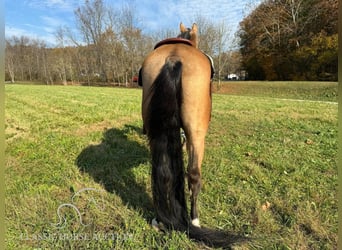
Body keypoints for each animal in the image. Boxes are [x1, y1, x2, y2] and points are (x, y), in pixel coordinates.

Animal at [139, 23, 246, 248]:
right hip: (196, 133)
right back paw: (194, 220)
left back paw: (160, 219)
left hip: (156, 131)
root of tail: (173, 58)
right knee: (194, 174)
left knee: (160, 172)